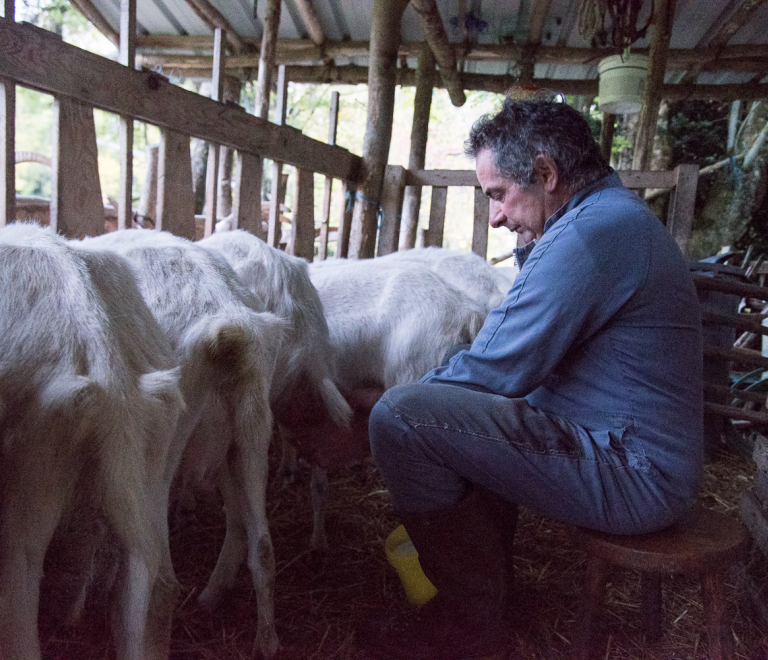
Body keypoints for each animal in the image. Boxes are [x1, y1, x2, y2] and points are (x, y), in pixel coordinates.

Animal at [80, 228, 288, 660]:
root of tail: (227, 325)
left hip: (162, 450)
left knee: (160, 583)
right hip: (249, 431)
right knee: (259, 543)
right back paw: (259, 635)